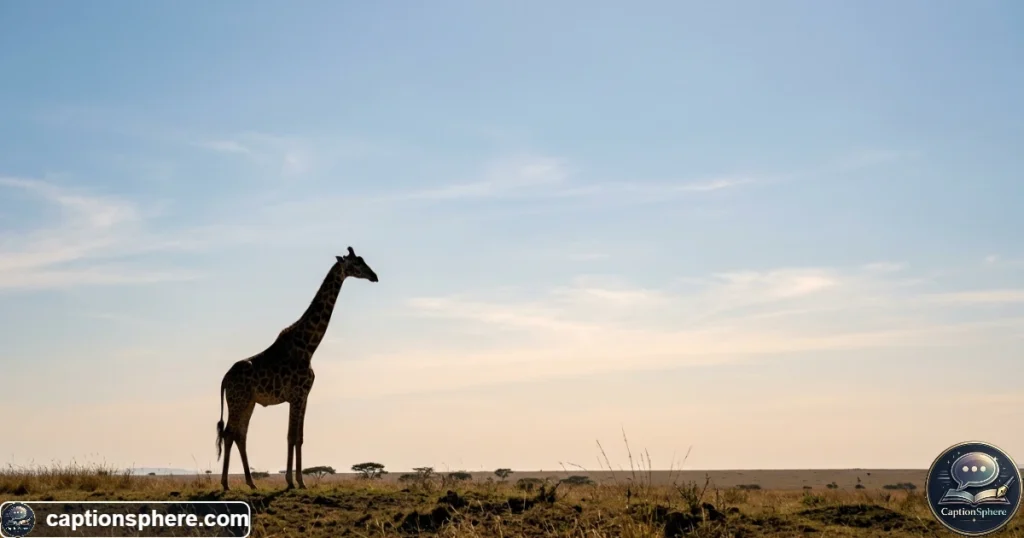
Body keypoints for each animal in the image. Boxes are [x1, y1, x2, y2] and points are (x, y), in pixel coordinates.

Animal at [215, 247, 378, 491]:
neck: (308, 346)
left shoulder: (304, 396)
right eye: (356, 263)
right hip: (238, 401)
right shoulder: (297, 395)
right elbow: (291, 436)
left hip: (248, 402)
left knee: (240, 435)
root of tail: (225, 378)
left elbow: (299, 437)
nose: (374, 276)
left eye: (363, 260)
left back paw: (251, 483)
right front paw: (292, 481)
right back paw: (226, 484)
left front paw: (301, 481)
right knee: (229, 434)